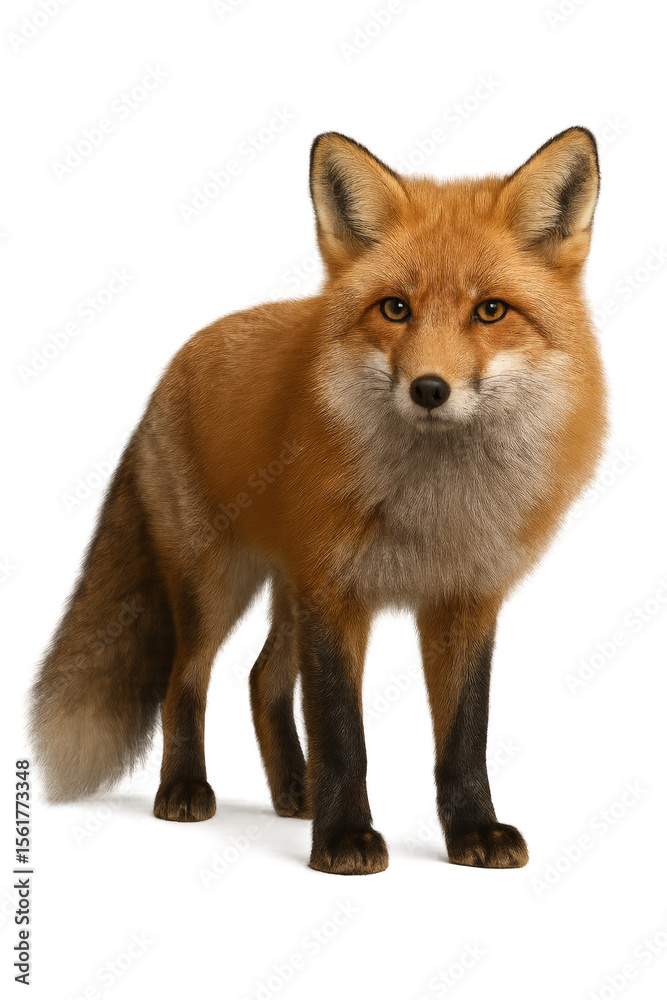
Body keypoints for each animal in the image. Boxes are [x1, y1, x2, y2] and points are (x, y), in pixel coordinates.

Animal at [29, 127, 607, 875]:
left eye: (490, 311)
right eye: (395, 308)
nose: (429, 389)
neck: (434, 510)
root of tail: (175, 363)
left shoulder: (463, 601)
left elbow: (464, 738)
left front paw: (472, 832)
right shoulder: (335, 592)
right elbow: (341, 734)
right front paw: (343, 840)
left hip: (285, 588)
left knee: (261, 679)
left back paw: (293, 792)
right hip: (214, 581)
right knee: (186, 678)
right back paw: (185, 789)